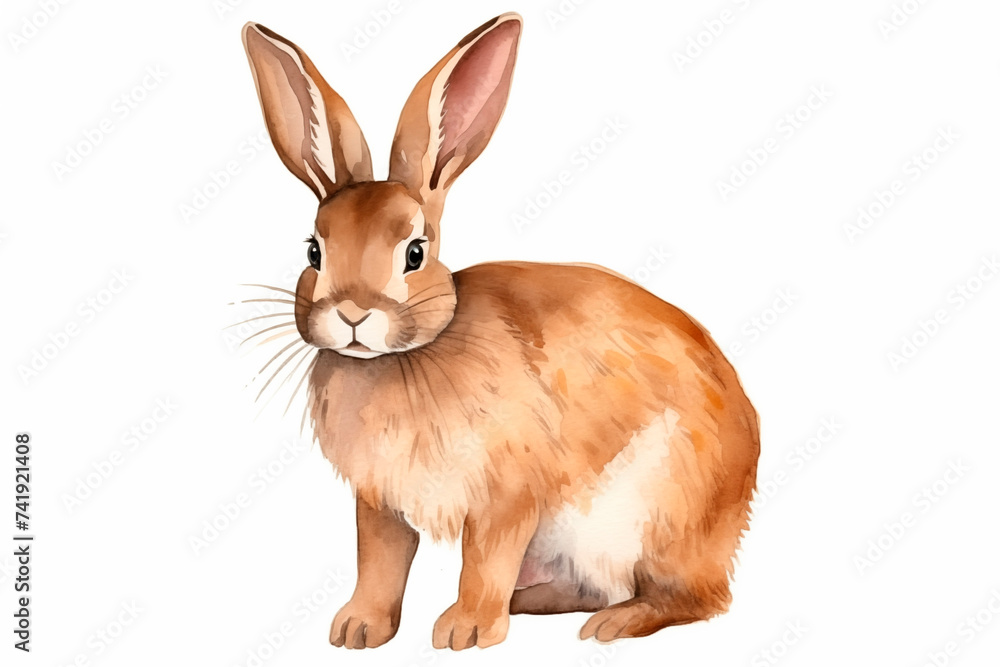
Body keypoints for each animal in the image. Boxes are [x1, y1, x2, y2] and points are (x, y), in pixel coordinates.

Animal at [241, 12, 759, 650]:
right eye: (314, 250)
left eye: (415, 252)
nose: (354, 314)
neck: (408, 357)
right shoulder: (380, 502)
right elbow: (381, 560)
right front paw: (357, 630)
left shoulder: (506, 498)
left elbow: (484, 560)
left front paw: (464, 632)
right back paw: (531, 602)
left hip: (653, 517)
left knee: (693, 597)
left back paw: (611, 624)